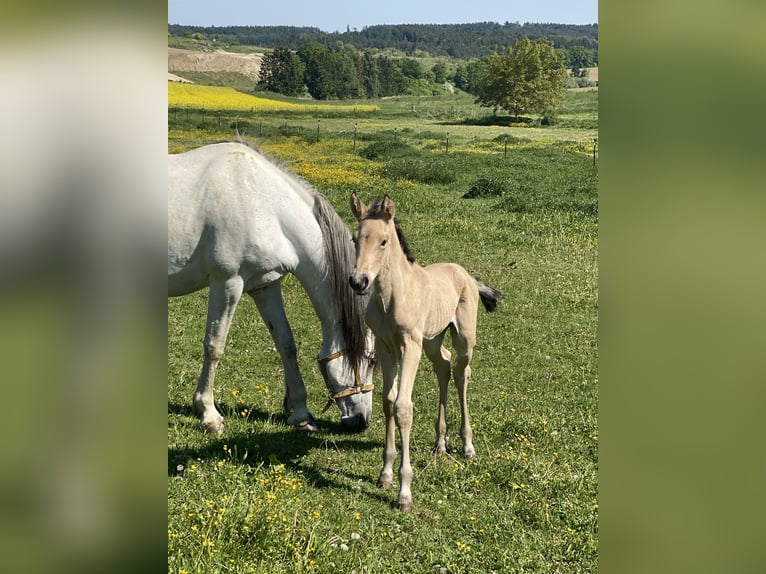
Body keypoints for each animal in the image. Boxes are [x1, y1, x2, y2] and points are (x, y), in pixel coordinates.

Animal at [168, 142, 375, 434]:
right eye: (371, 359)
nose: (361, 422)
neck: (264, 205)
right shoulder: (228, 282)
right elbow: (214, 346)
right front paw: (208, 415)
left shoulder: (266, 284)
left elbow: (286, 343)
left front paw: (301, 414)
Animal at [348, 193, 501, 511]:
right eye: (356, 238)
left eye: (383, 242)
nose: (358, 282)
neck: (392, 296)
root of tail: (466, 274)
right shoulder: (385, 347)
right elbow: (388, 401)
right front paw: (385, 474)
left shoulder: (410, 347)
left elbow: (403, 408)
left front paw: (404, 492)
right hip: (432, 340)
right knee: (444, 366)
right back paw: (440, 444)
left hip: (462, 338)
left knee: (462, 372)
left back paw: (467, 446)